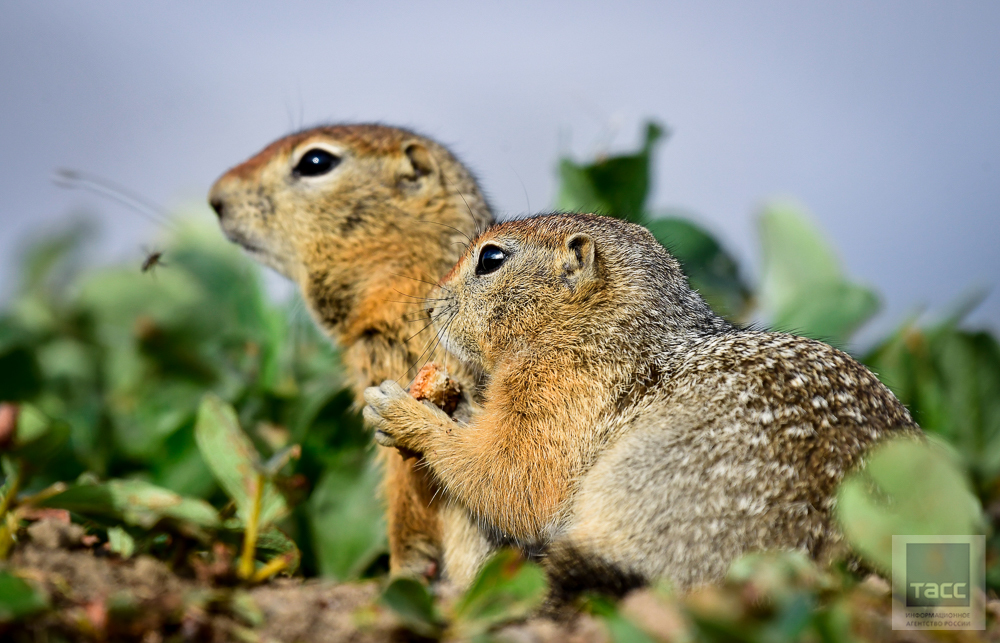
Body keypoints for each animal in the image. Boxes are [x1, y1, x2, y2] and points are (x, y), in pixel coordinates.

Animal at [364, 213, 916, 600]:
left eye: (491, 259)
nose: (429, 306)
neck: (598, 324)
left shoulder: (560, 388)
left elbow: (515, 472)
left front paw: (402, 412)